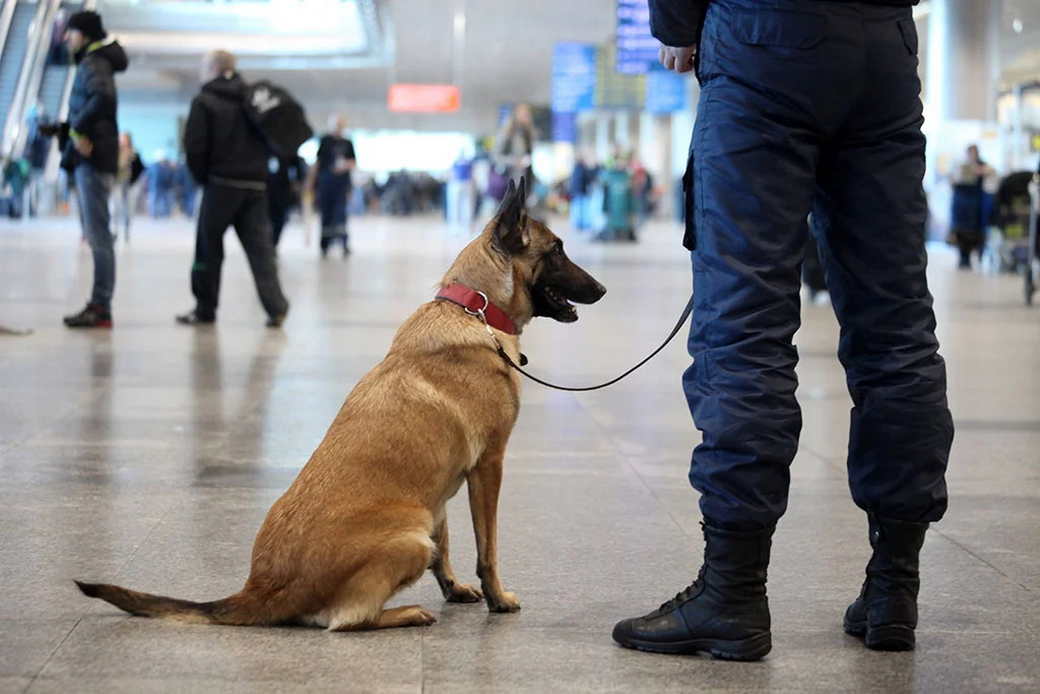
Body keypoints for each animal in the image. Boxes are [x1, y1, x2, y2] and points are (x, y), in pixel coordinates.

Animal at [76, 176, 607, 632]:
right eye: (557, 249)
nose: (602, 289)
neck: (473, 307)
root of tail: (261, 589)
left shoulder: (438, 493)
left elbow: (448, 545)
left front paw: (455, 588)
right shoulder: (488, 467)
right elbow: (486, 547)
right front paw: (498, 597)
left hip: (417, 518)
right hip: (409, 533)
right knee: (347, 620)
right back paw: (406, 613)